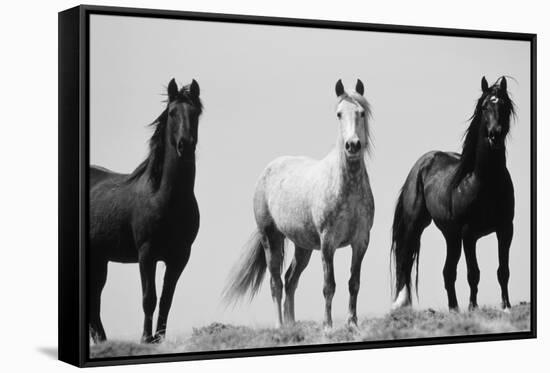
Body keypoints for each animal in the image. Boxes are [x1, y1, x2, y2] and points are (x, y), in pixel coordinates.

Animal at [89, 78, 204, 342]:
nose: (185, 145)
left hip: (99, 260)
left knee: (94, 301)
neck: (165, 198)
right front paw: (145, 339)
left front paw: (159, 339)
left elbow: (166, 300)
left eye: (195, 113)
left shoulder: (179, 257)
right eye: (172, 113)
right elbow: (149, 298)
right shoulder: (146, 254)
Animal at [224, 79, 376, 328]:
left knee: (290, 279)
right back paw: (280, 326)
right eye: (338, 114)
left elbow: (354, 282)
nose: (352, 145)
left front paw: (352, 323)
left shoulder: (361, 241)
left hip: (303, 247)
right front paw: (327, 326)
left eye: (361, 113)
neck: (346, 186)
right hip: (271, 238)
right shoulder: (328, 243)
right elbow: (329, 286)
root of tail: (268, 170)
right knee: (276, 282)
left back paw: (291, 325)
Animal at [392, 76, 516, 310]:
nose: (494, 135)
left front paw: (506, 306)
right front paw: (473, 307)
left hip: (451, 236)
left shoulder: (505, 229)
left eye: (504, 105)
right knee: (404, 261)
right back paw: (402, 304)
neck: (484, 181)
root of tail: (421, 164)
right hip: (416, 226)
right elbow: (473, 273)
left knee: (448, 272)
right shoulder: (469, 234)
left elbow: (503, 271)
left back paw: (454, 308)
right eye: (484, 106)